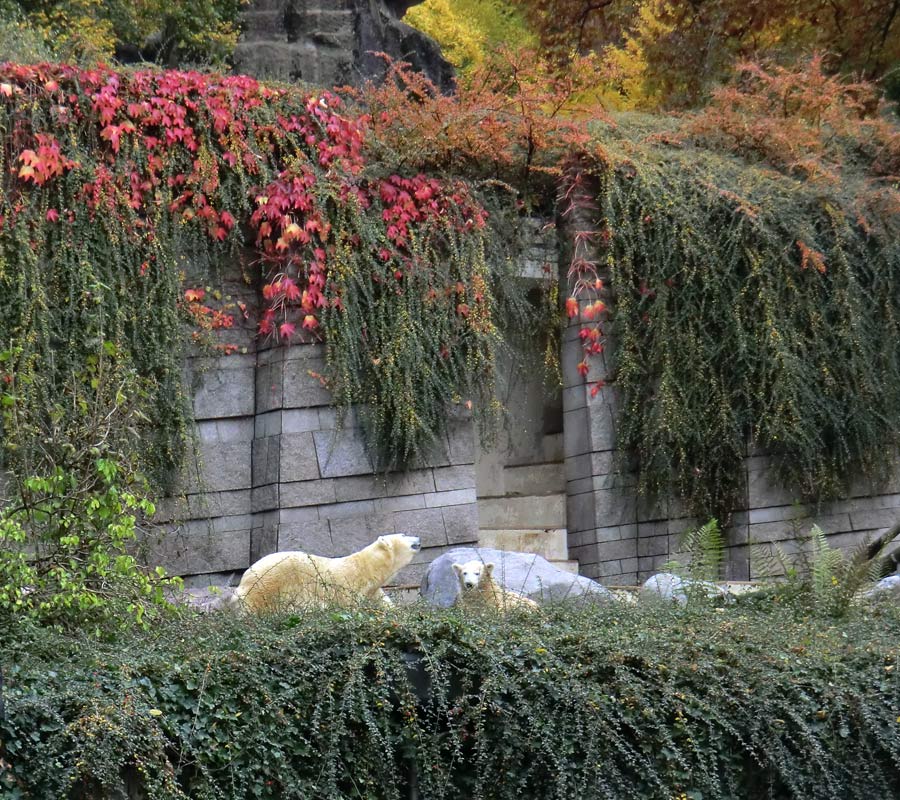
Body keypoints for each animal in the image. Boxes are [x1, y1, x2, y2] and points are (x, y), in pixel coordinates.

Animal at [229, 532, 418, 612]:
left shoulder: (372, 591)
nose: (418, 537)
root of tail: (244, 579)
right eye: (404, 534)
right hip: (266, 586)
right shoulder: (347, 587)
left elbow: (383, 604)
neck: (366, 568)